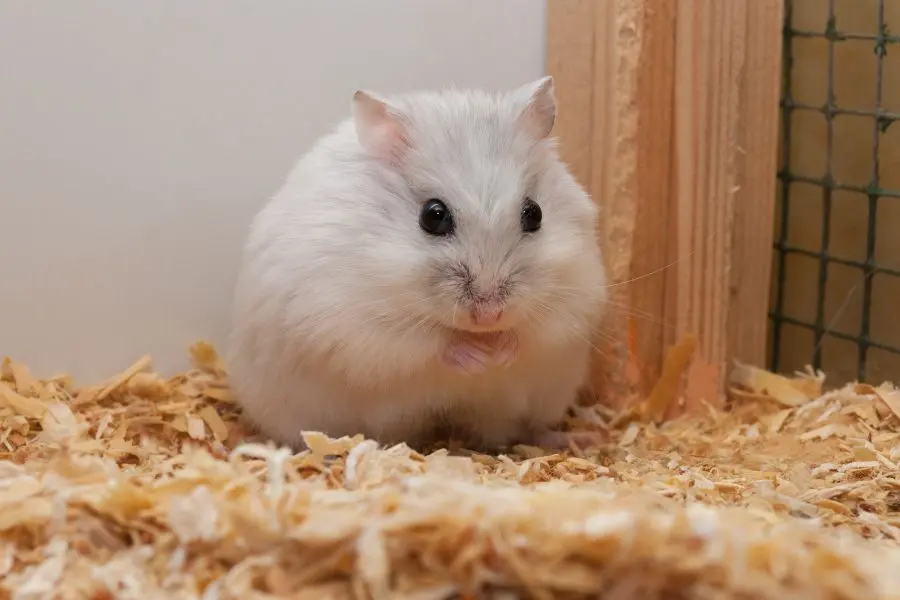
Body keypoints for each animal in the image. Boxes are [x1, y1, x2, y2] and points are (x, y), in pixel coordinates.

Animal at [226, 76, 608, 452]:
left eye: (535, 213)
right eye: (433, 216)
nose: (488, 316)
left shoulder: (575, 297)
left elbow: (533, 332)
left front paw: (499, 351)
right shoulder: (351, 322)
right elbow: (427, 344)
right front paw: (476, 356)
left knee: (525, 429)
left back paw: (579, 440)